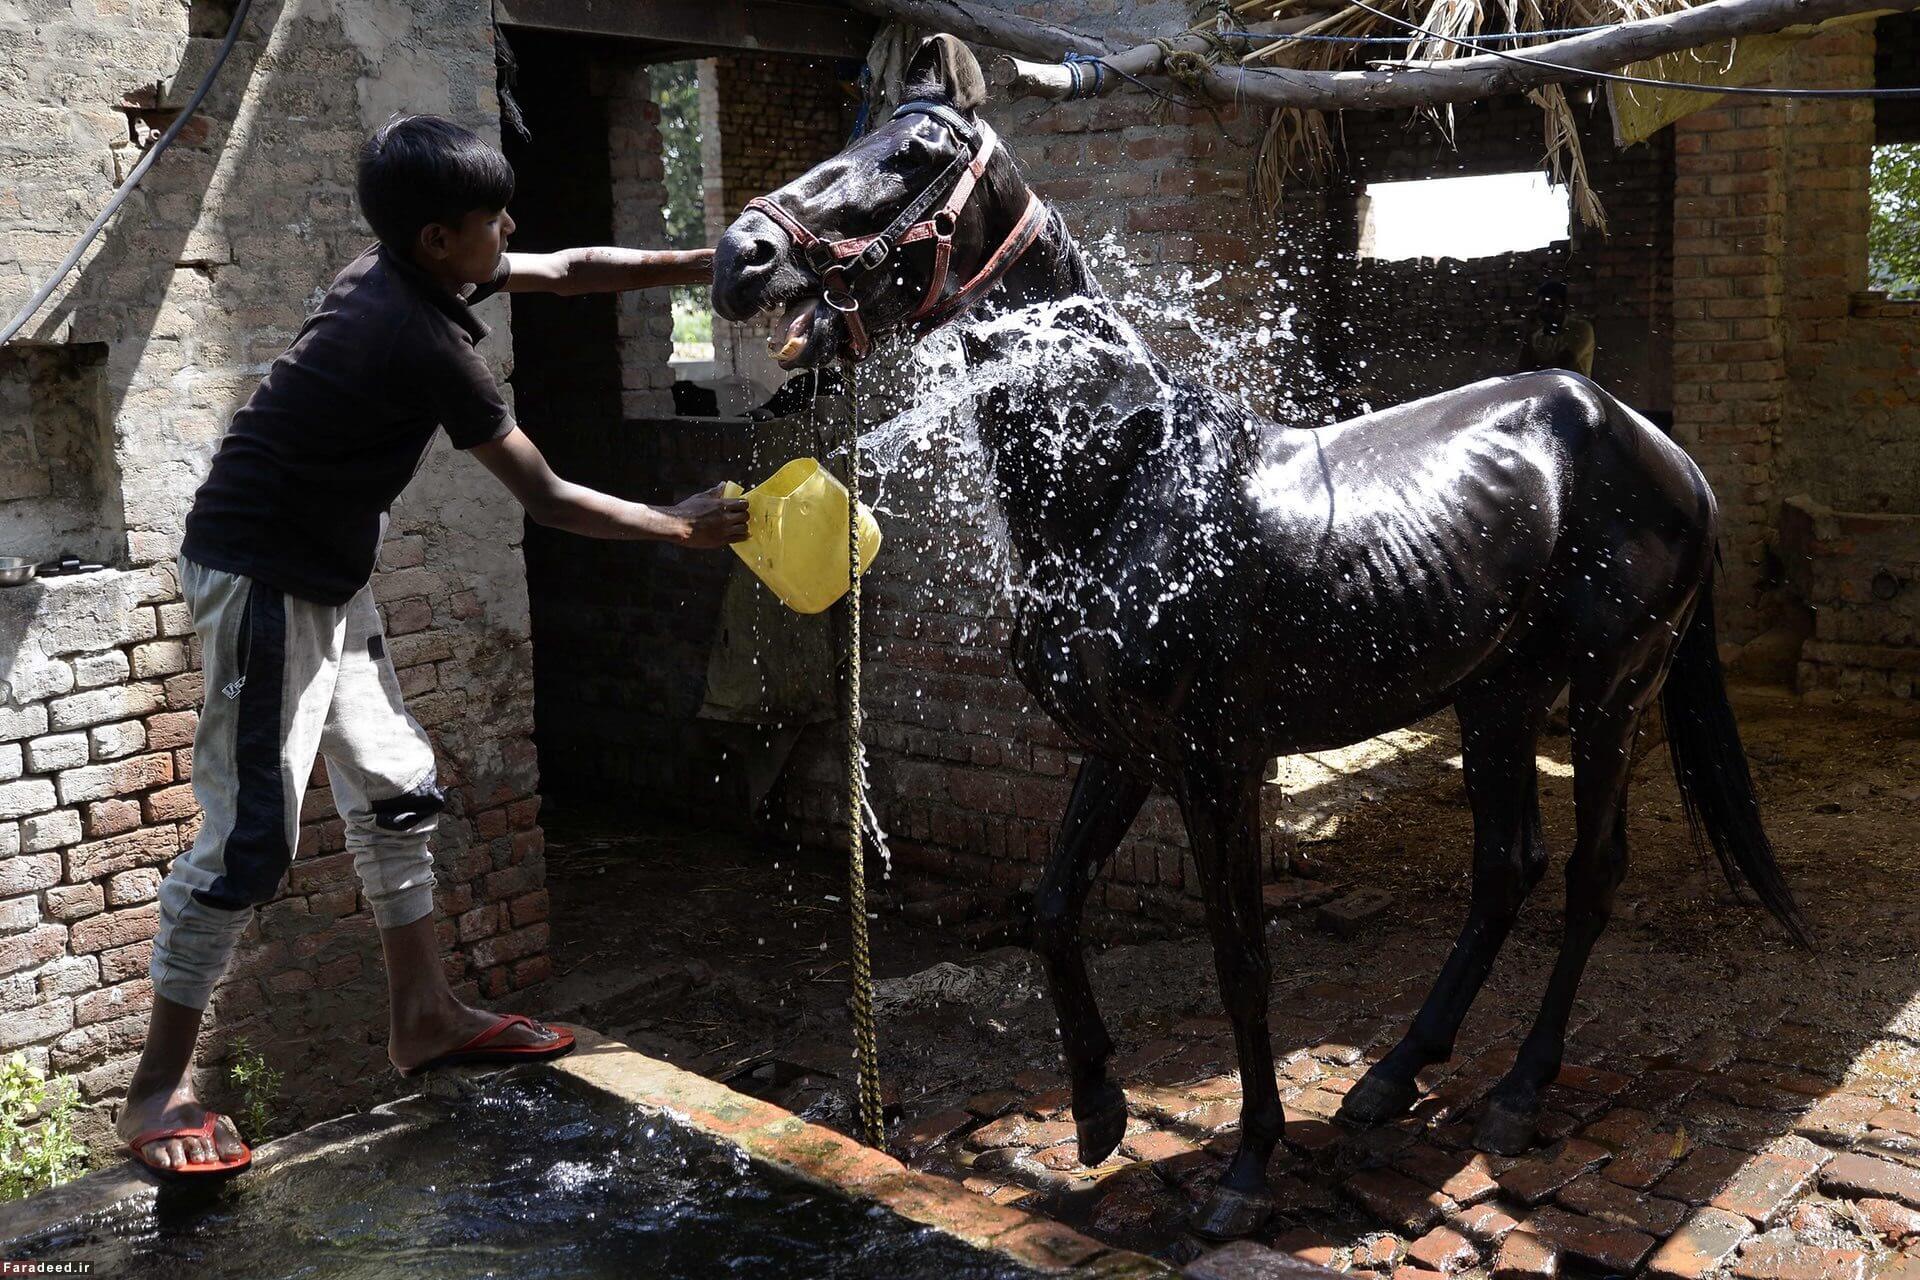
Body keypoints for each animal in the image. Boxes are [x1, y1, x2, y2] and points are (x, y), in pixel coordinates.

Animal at [714, 35, 1804, 1243]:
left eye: (916, 153)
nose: (740, 255)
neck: (1124, 481)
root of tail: (1663, 450)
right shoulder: (1122, 752)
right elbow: (1050, 909)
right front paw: (1098, 1109)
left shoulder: (1214, 761)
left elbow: (1242, 956)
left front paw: (1246, 1167)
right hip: (1495, 694)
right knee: (1504, 867)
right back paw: (1391, 1078)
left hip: (1614, 689)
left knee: (1587, 876)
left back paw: (1518, 1091)